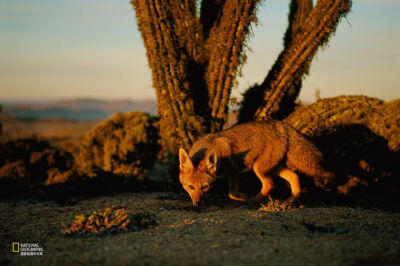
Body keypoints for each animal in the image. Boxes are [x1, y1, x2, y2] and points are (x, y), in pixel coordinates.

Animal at [179, 119, 334, 206]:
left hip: (259, 168)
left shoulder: (235, 171)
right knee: (294, 177)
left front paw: (243, 198)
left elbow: (232, 193)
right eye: (190, 187)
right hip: (272, 167)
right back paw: (294, 199)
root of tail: (281, 124)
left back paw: (254, 200)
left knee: (269, 184)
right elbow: (231, 192)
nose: (198, 203)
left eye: (205, 187)